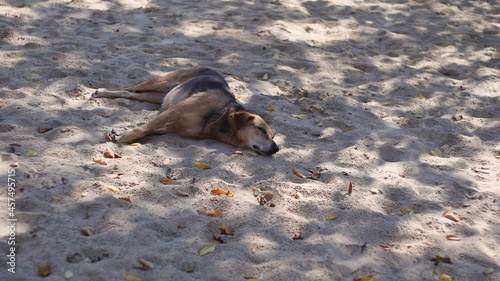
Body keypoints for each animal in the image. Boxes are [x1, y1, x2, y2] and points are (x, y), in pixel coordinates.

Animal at [92, 68, 280, 155]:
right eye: (261, 130)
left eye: (273, 136)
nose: (276, 148)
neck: (221, 118)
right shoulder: (173, 112)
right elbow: (143, 127)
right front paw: (124, 135)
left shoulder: (173, 125)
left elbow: (148, 130)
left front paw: (123, 131)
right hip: (160, 82)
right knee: (129, 88)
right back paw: (100, 91)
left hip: (157, 95)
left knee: (132, 94)